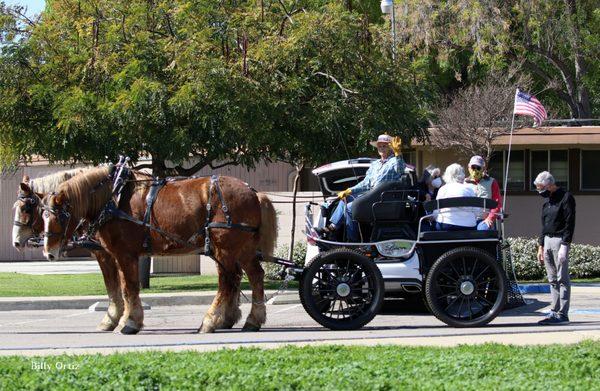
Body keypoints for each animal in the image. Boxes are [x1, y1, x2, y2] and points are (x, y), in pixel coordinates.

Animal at [41, 167, 276, 336]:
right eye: (42, 215)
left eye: (59, 215)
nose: (49, 253)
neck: (114, 197)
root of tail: (254, 193)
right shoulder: (115, 255)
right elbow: (120, 288)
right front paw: (120, 320)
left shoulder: (124, 254)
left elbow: (129, 288)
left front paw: (129, 323)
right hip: (243, 249)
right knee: (255, 276)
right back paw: (252, 320)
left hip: (225, 249)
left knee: (228, 281)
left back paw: (210, 321)